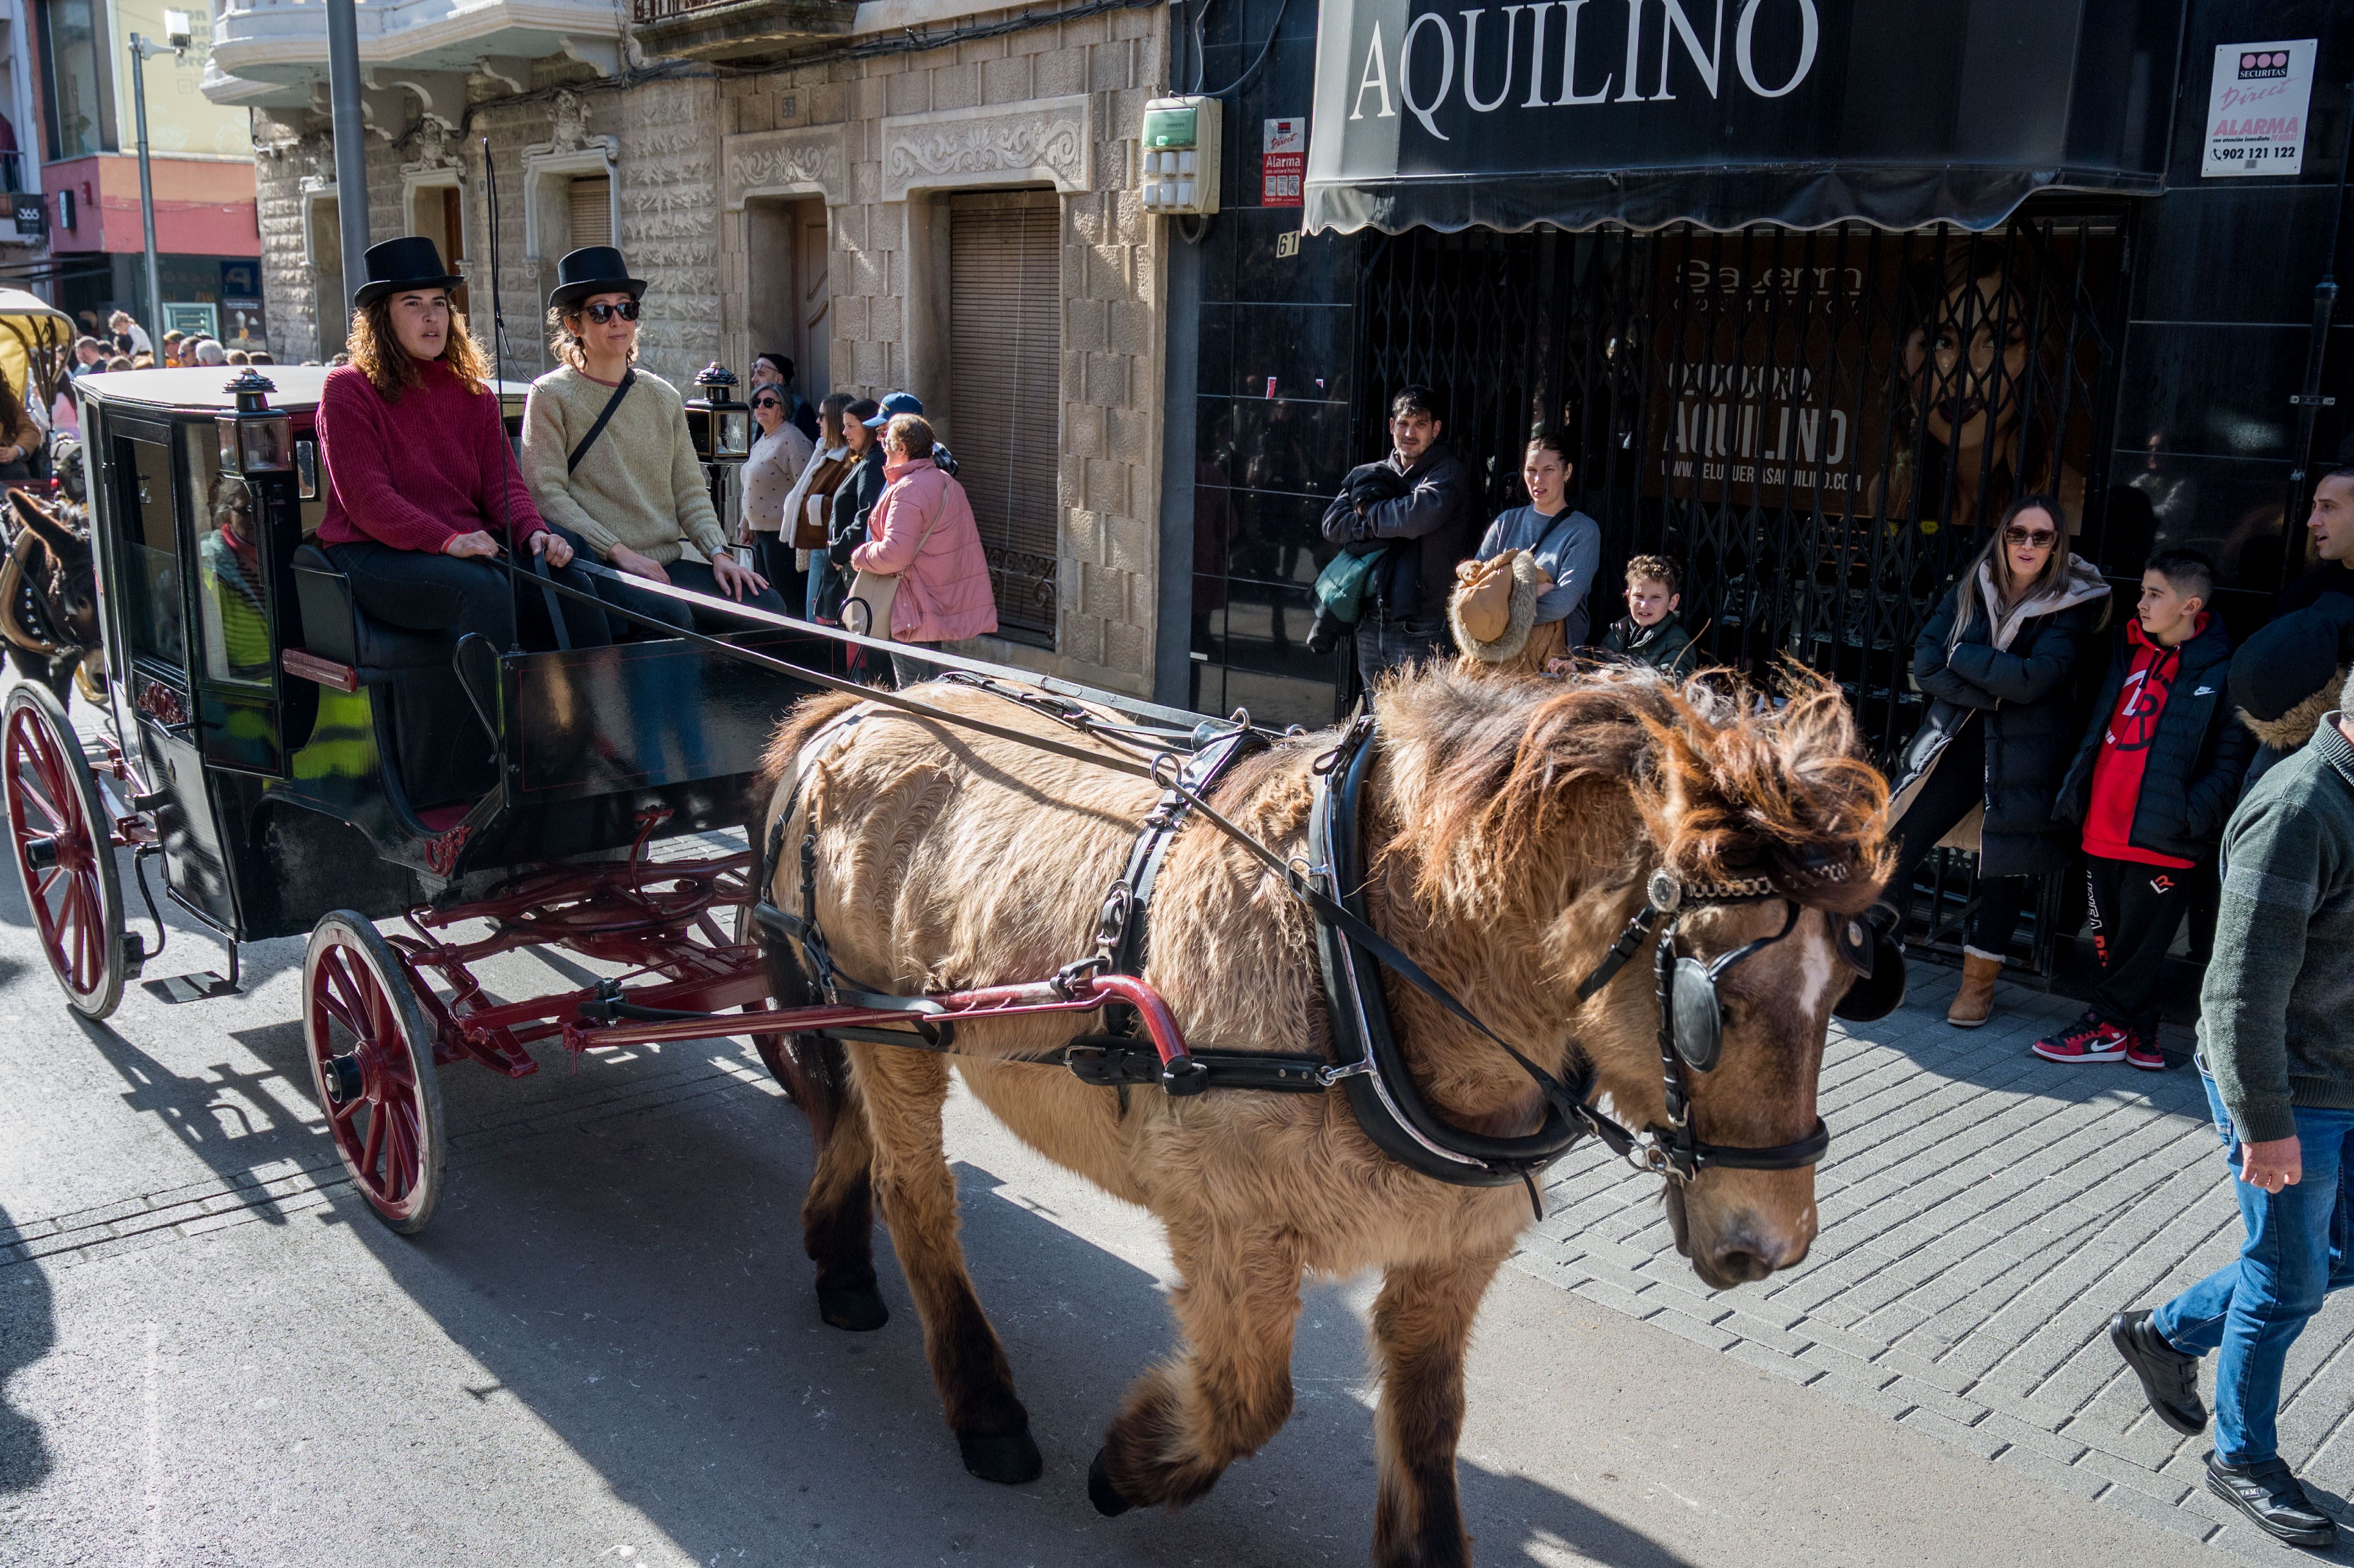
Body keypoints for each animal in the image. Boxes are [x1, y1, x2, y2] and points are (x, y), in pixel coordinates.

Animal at [753, 664, 1892, 1563]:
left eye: (1846, 988)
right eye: (1711, 1004)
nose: (1771, 1244)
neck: (1356, 948)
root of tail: (858, 708)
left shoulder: (1452, 1244)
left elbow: (1428, 1423)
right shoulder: (1232, 1224)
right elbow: (1249, 1402)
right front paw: (1131, 1461)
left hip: (866, 1016)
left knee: (846, 1116)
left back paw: (839, 1260)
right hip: (897, 1033)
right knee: (915, 1190)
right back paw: (981, 1398)